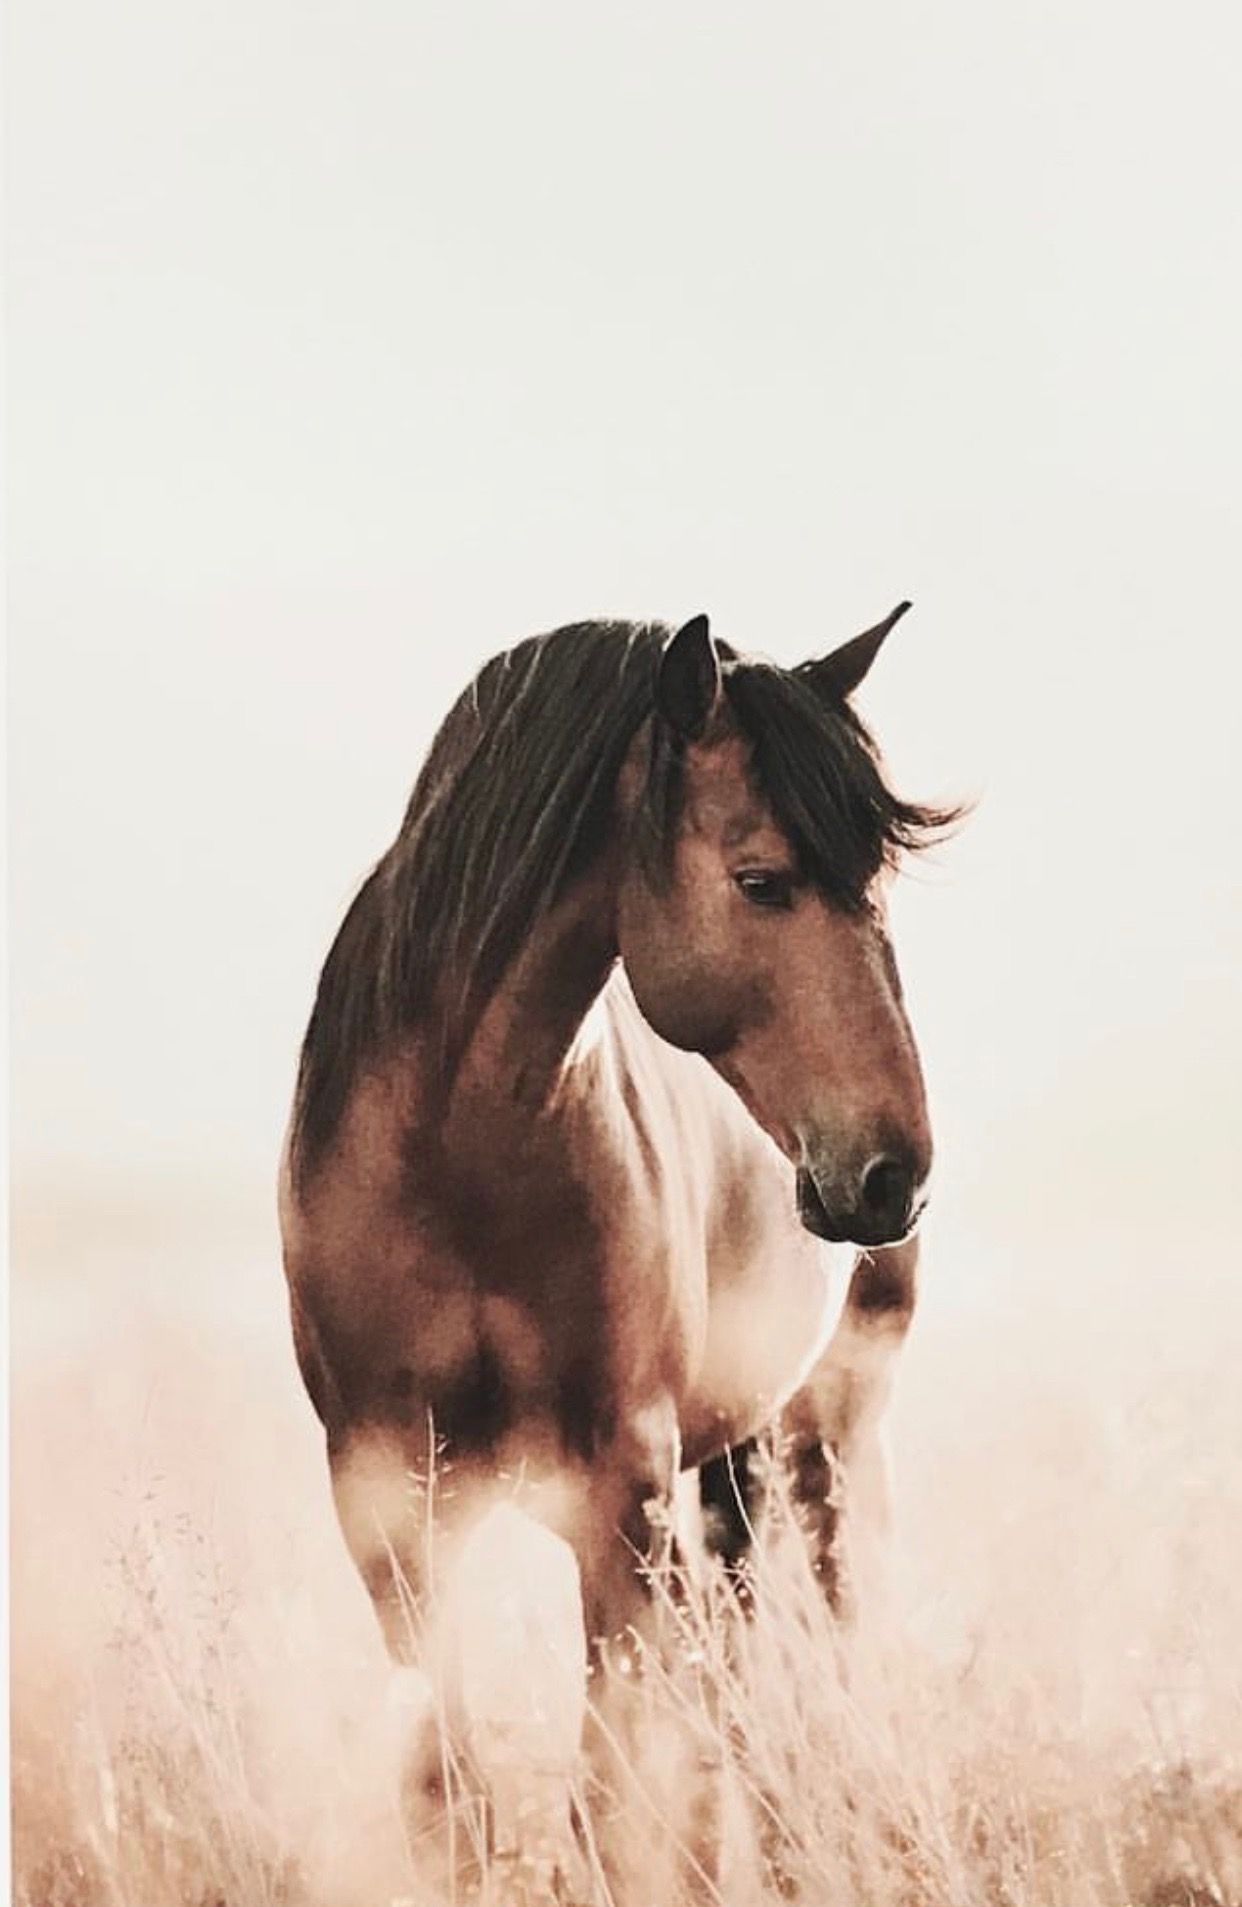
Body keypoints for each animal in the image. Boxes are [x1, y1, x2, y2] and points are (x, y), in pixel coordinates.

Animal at [278, 606, 956, 1862]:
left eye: (880, 884)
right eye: (761, 880)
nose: (895, 1172)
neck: (461, 1161)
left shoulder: (617, 1497)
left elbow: (603, 1795)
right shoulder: (387, 1508)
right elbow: (451, 1795)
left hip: (826, 1432)